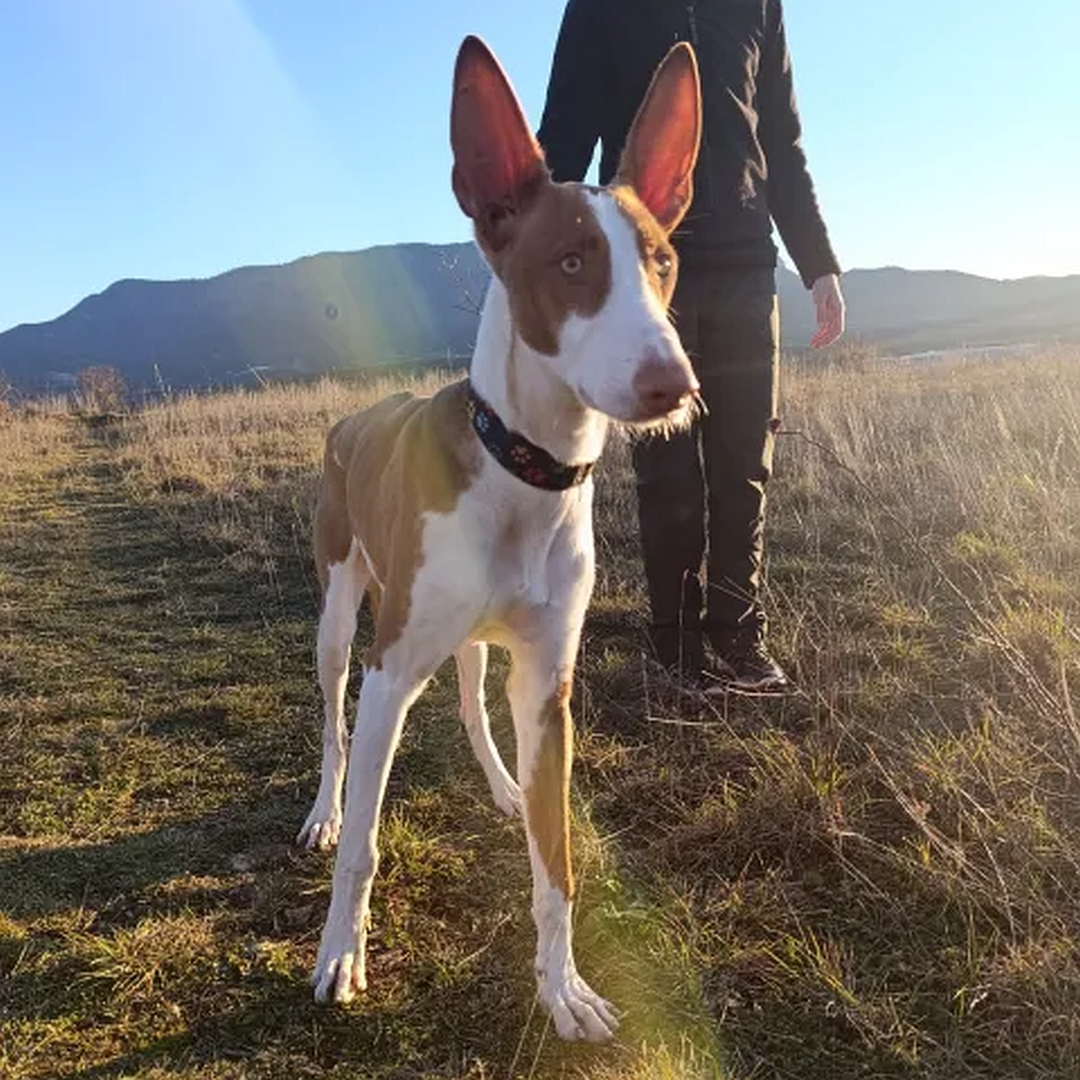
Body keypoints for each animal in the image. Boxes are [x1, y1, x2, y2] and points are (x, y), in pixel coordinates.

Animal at [298, 38, 699, 1041]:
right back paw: (322, 810)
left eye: (663, 261)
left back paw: (501, 784)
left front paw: (564, 989)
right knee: (329, 722)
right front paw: (340, 954)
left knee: (477, 703)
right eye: (571, 260)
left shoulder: (550, 686)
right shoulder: (389, 671)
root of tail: (357, 414)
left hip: (479, 644)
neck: (525, 467)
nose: (673, 384)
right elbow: (364, 845)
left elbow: (557, 866)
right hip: (339, 619)